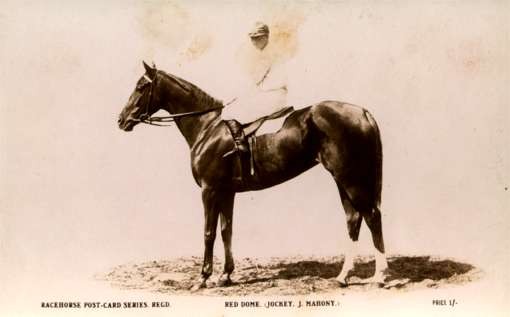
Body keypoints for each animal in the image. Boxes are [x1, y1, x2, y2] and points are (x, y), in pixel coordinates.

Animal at [117, 61, 388, 288]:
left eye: (141, 87)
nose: (121, 119)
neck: (208, 129)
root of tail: (363, 112)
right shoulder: (226, 192)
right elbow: (226, 231)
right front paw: (225, 275)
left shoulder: (209, 191)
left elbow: (209, 233)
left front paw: (203, 278)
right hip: (342, 180)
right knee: (353, 220)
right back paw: (343, 276)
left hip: (351, 179)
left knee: (372, 216)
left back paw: (379, 276)